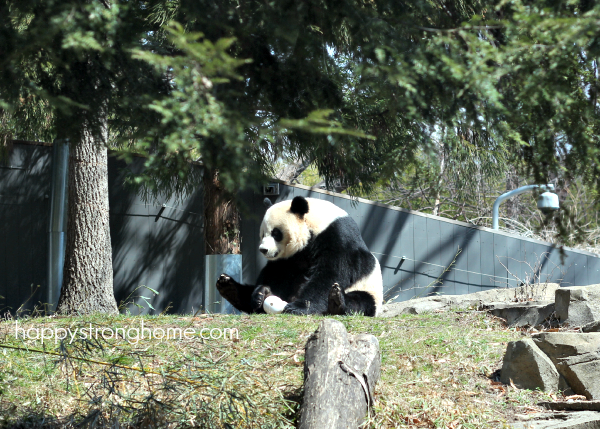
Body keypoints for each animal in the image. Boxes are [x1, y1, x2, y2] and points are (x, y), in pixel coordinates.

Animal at [216, 196, 382, 316]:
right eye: (263, 234)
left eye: (276, 233)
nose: (263, 250)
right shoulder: (289, 258)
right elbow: (277, 273)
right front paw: (262, 294)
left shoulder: (338, 236)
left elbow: (332, 272)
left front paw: (299, 307)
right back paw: (230, 287)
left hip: (370, 290)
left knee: (361, 301)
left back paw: (336, 302)